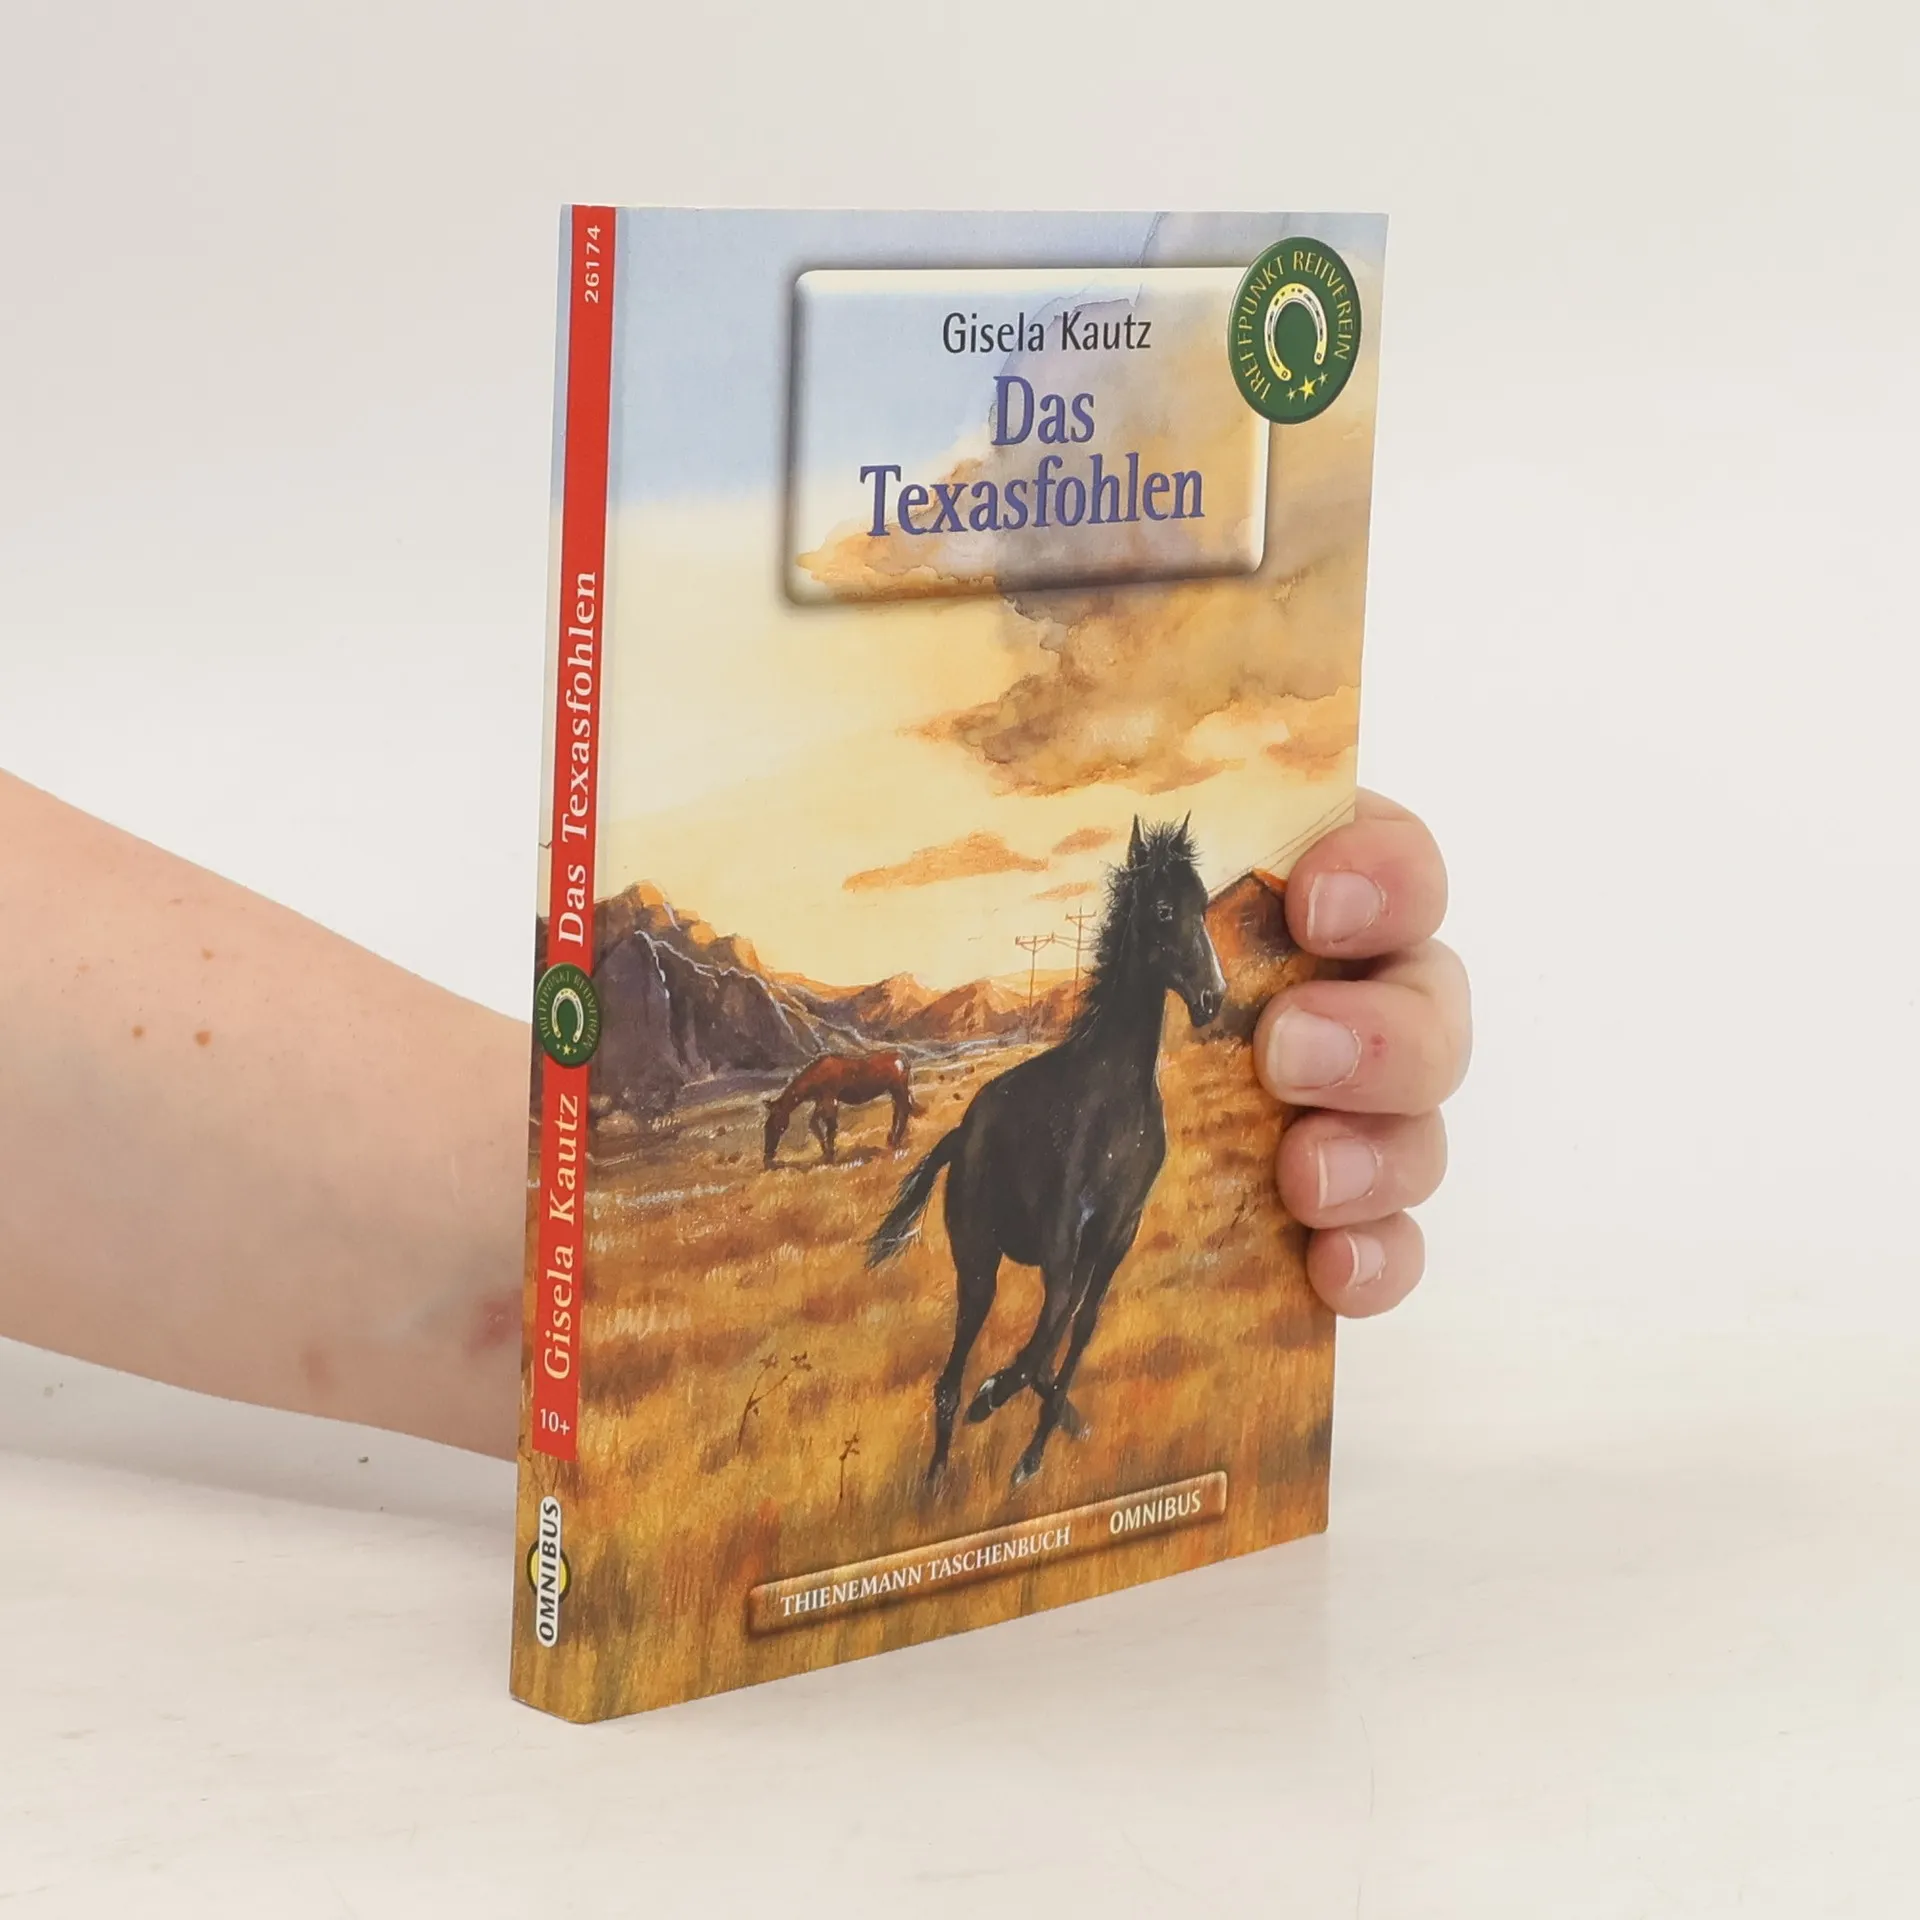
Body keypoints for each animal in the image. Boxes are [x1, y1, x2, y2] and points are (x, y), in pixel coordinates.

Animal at [764, 1049, 921, 1167]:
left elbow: (830, 1128)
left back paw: (896, 1141)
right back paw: (891, 1138)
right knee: (898, 1110)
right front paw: (826, 1153)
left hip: (898, 1088)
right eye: (766, 1126)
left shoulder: (830, 1100)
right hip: (893, 1090)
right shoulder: (821, 1101)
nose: (767, 1156)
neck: (815, 1075)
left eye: (773, 1125)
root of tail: (902, 1057)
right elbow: (815, 1124)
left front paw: (831, 1155)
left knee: (904, 1110)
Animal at [866, 818, 1225, 1488]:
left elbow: (1075, 1332)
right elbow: (1044, 1341)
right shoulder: (1064, 1236)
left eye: (1204, 906)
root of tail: (961, 1134)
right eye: (1164, 910)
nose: (1213, 999)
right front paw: (996, 1400)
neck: (1114, 1096)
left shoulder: (1117, 1233)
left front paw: (1037, 1450)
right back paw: (938, 1475)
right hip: (978, 1264)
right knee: (950, 1378)